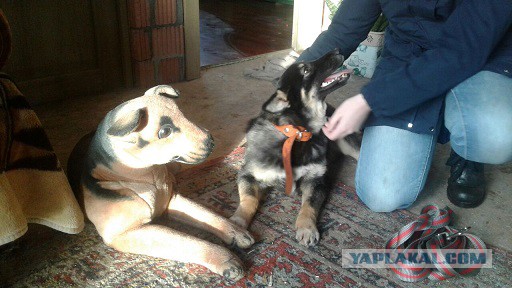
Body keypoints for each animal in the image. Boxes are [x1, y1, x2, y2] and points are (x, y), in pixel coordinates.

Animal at [67, 86, 255, 282]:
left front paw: (236, 231)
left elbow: (207, 214)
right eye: (164, 132)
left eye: (183, 114)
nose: (211, 141)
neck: (147, 176)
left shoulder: (172, 200)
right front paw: (225, 257)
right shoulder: (126, 232)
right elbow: (187, 241)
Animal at [230, 49, 358, 245]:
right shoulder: (247, 175)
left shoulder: (316, 181)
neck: (296, 133)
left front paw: (307, 228)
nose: (337, 50)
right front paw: (236, 225)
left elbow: (309, 205)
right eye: (306, 70)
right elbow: (249, 200)